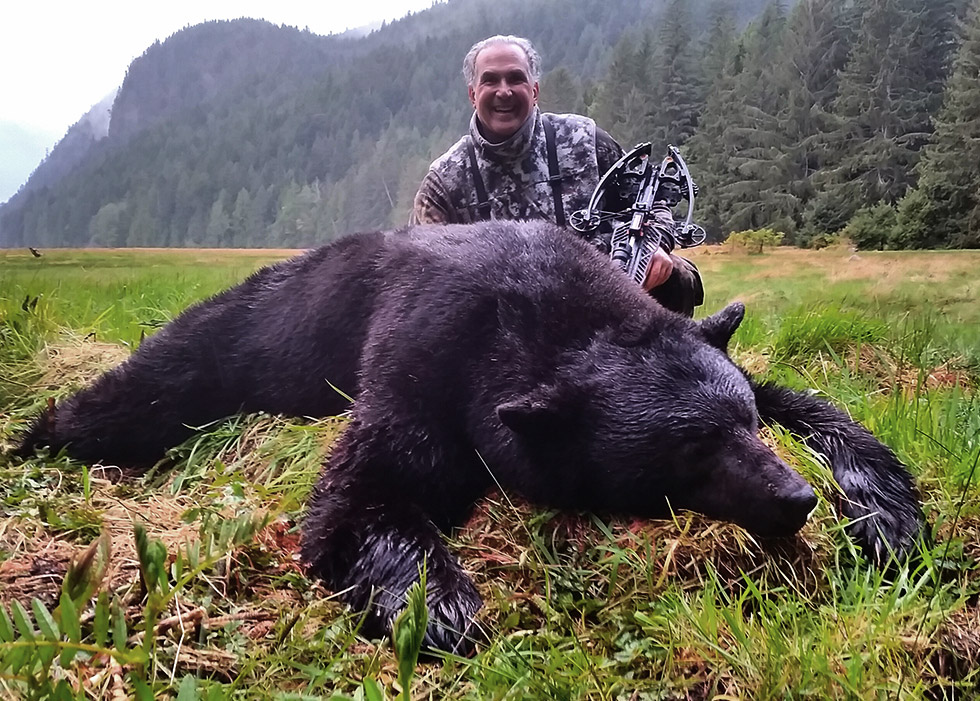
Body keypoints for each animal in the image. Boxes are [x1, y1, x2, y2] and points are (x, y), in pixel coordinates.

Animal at [15, 220, 923, 654]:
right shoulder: (422, 359)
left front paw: (887, 517)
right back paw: (38, 433)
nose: (794, 497)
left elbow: (821, 410)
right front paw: (446, 606)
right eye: (692, 449)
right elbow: (359, 495)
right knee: (152, 384)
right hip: (249, 331)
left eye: (741, 425)